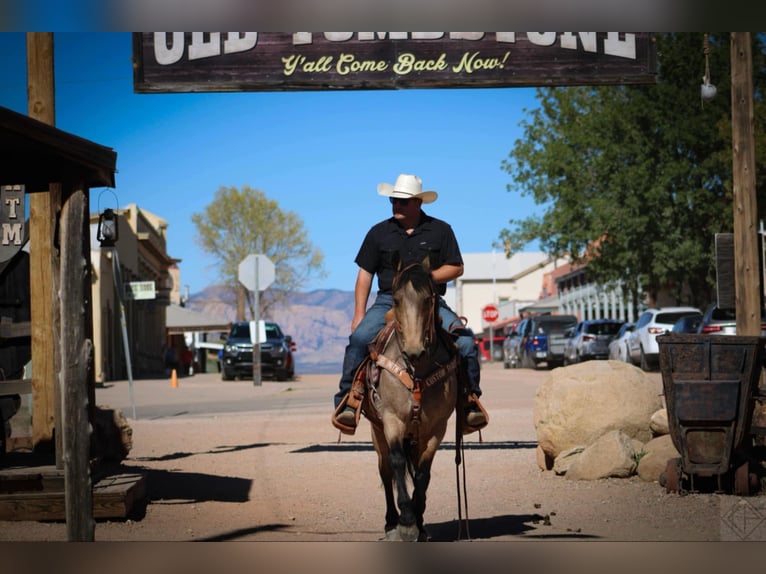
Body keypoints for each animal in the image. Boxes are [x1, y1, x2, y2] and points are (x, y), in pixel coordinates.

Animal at [362, 258, 462, 544]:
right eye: (395, 300)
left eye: (428, 299)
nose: (414, 351)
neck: (417, 371)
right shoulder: (392, 420)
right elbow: (397, 462)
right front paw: (406, 521)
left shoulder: (436, 428)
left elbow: (422, 473)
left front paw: (419, 521)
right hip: (377, 431)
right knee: (385, 471)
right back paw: (390, 522)